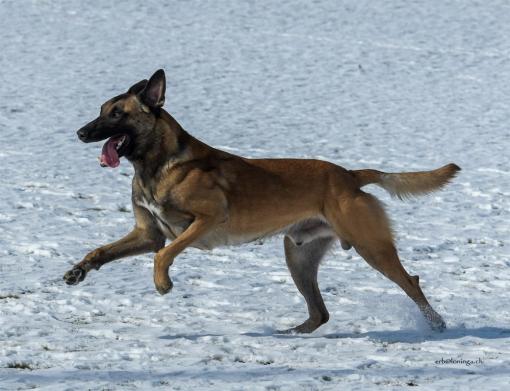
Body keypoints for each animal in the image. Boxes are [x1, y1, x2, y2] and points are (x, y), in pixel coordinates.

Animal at [62, 69, 458, 334]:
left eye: (117, 113)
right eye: (101, 109)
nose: (80, 132)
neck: (156, 164)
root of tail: (349, 175)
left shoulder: (205, 220)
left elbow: (165, 254)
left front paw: (163, 283)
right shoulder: (148, 233)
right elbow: (102, 250)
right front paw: (79, 270)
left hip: (371, 247)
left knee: (411, 282)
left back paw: (436, 324)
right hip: (298, 256)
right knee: (320, 313)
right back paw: (291, 335)